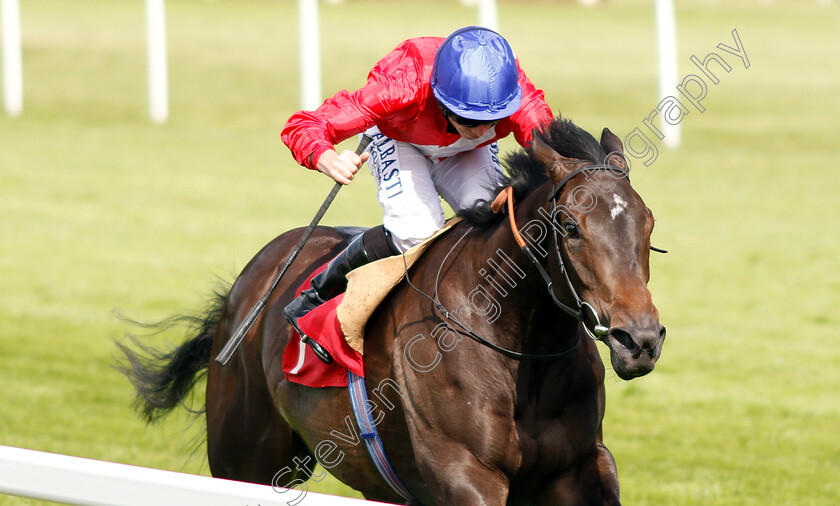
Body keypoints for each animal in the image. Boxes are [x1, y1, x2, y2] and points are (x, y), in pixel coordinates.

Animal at [118, 116, 668, 504]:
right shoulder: (464, 474)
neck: (519, 346)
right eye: (569, 226)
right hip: (243, 456)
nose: (638, 340)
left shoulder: (581, 468)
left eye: (648, 222)